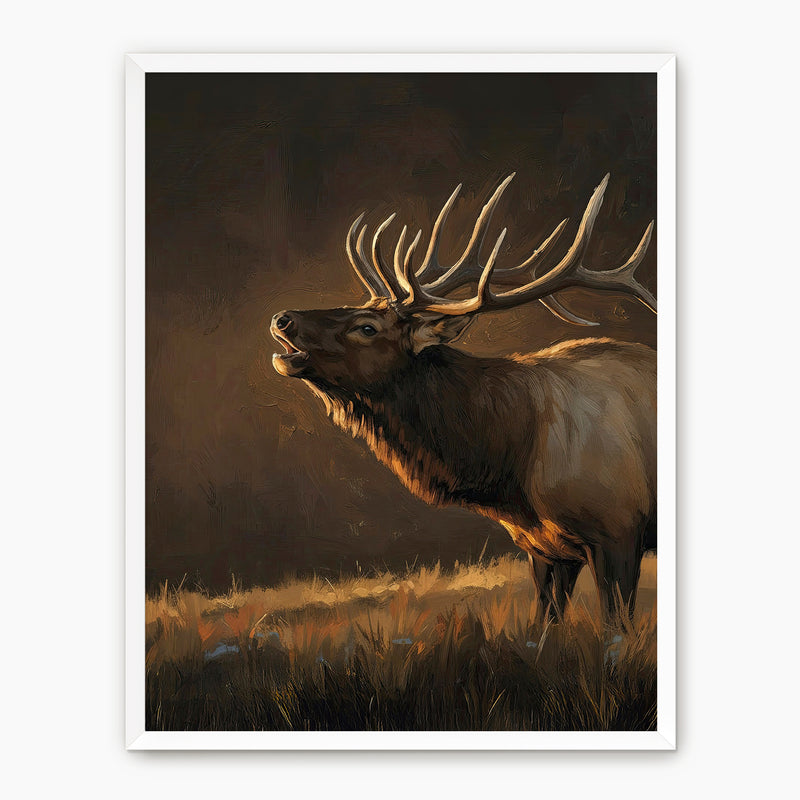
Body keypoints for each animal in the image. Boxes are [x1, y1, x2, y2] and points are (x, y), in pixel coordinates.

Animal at [271, 173, 657, 625]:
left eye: (367, 327)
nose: (283, 318)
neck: (514, 469)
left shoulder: (619, 530)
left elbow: (617, 627)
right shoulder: (545, 548)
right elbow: (545, 625)